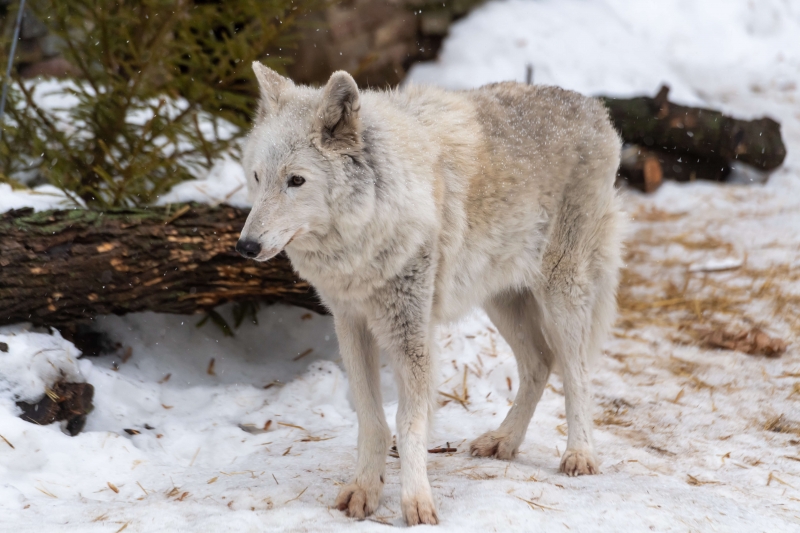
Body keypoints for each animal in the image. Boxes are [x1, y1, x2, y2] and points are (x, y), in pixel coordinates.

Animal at [238, 62, 624, 524]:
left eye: (296, 180)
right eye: (257, 177)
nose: (245, 246)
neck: (367, 230)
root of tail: (595, 108)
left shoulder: (411, 334)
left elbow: (408, 423)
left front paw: (417, 502)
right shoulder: (351, 323)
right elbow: (371, 419)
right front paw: (365, 490)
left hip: (561, 293)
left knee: (577, 372)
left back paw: (580, 455)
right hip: (501, 300)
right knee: (540, 364)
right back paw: (504, 440)